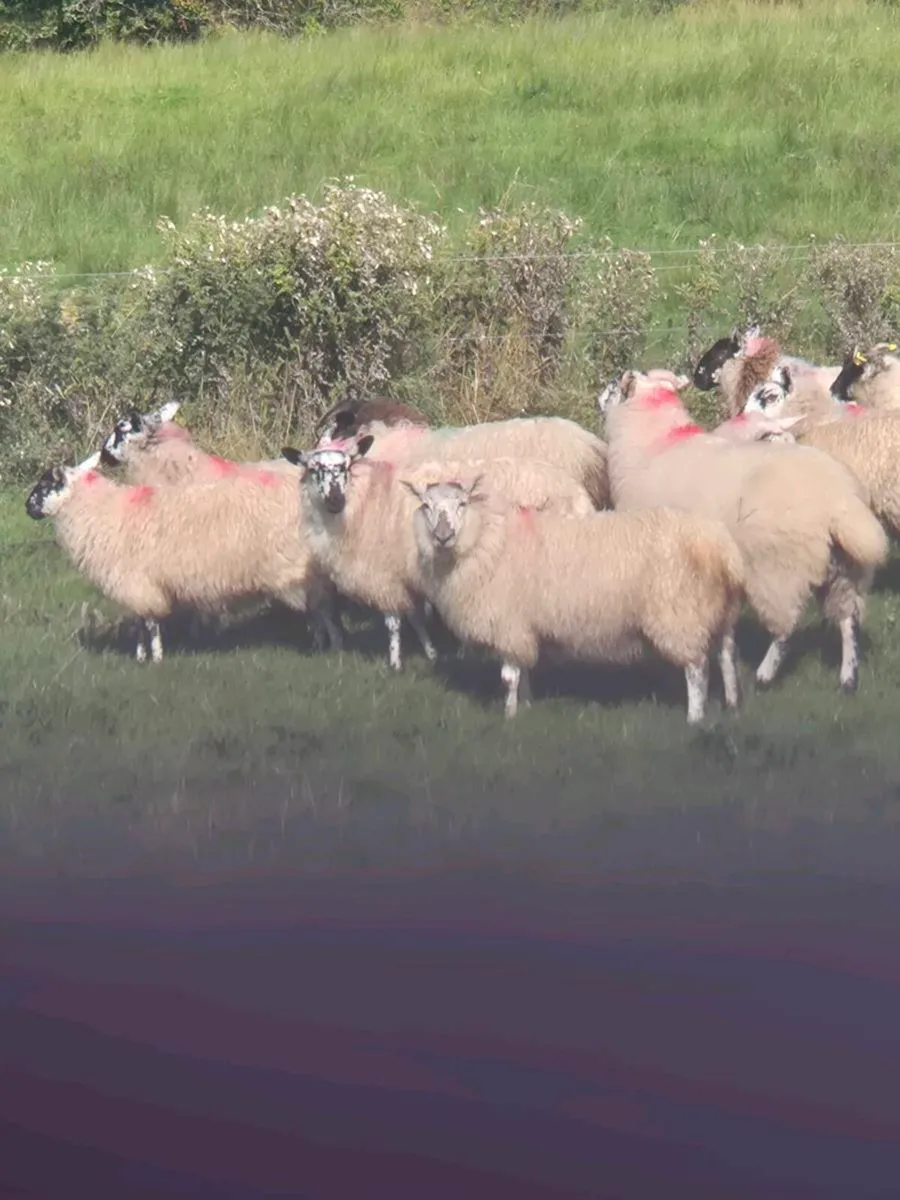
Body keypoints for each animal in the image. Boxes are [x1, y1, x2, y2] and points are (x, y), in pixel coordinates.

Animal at [25, 452, 342, 664]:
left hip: (300, 568)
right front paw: (141, 657)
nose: (28, 507)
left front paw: (155, 658)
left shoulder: (138, 582)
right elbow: (141, 622)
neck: (104, 511)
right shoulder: (138, 585)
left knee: (320, 607)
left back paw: (325, 646)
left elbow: (150, 624)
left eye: (45, 485)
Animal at [281, 435, 596, 671]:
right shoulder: (410, 576)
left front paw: (395, 664)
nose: (335, 498)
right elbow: (416, 617)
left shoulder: (386, 577)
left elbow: (394, 622)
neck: (365, 499)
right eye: (314, 469)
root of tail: (580, 496)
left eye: (346, 467)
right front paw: (431, 652)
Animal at [404, 478, 745, 723]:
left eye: (462, 503)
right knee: (726, 655)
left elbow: (509, 677)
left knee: (697, 668)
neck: (488, 539)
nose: (443, 535)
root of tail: (719, 545)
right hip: (719, 611)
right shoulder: (523, 627)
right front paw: (527, 706)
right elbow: (524, 669)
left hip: (680, 614)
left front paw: (510, 716)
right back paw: (731, 702)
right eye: (426, 505)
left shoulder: (508, 625)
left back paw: (694, 717)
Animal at [598, 369, 890, 693]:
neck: (654, 444)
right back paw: (847, 678)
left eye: (613, 387)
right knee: (848, 619)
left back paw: (765, 674)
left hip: (779, 568)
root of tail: (840, 500)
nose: (601, 396)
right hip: (847, 568)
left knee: (786, 629)